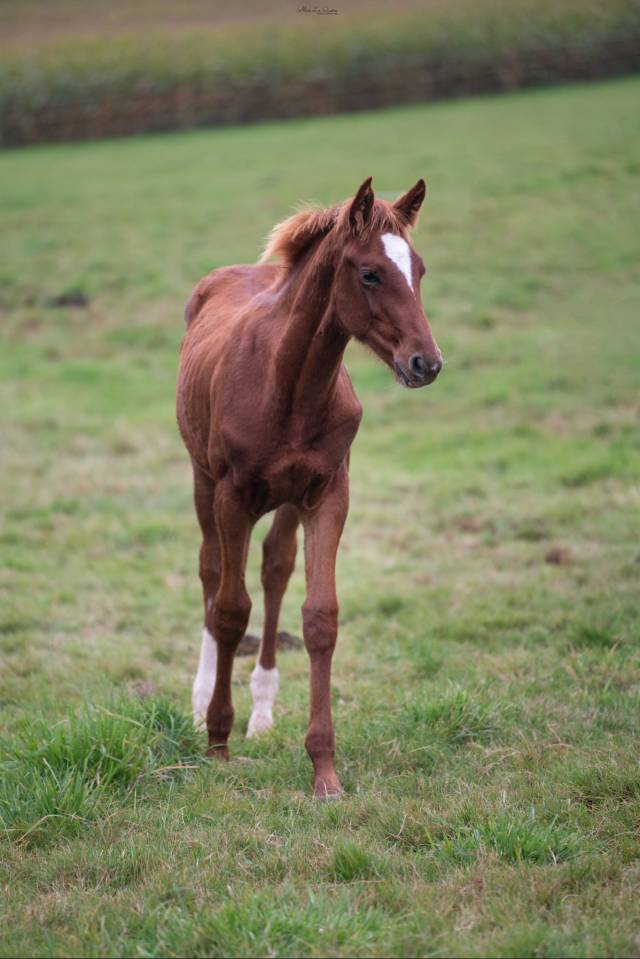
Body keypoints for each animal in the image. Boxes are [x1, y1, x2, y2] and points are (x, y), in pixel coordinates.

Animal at [176, 177, 442, 798]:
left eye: (419, 268)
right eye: (369, 273)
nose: (426, 363)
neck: (289, 384)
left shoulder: (329, 494)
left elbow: (320, 616)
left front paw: (325, 771)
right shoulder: (231, 497)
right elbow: (231, 610)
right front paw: (218, 744)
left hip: (286, 501)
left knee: (275, 567)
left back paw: (262, 712)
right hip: (203, 480)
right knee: (210, 572)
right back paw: (202, 707)